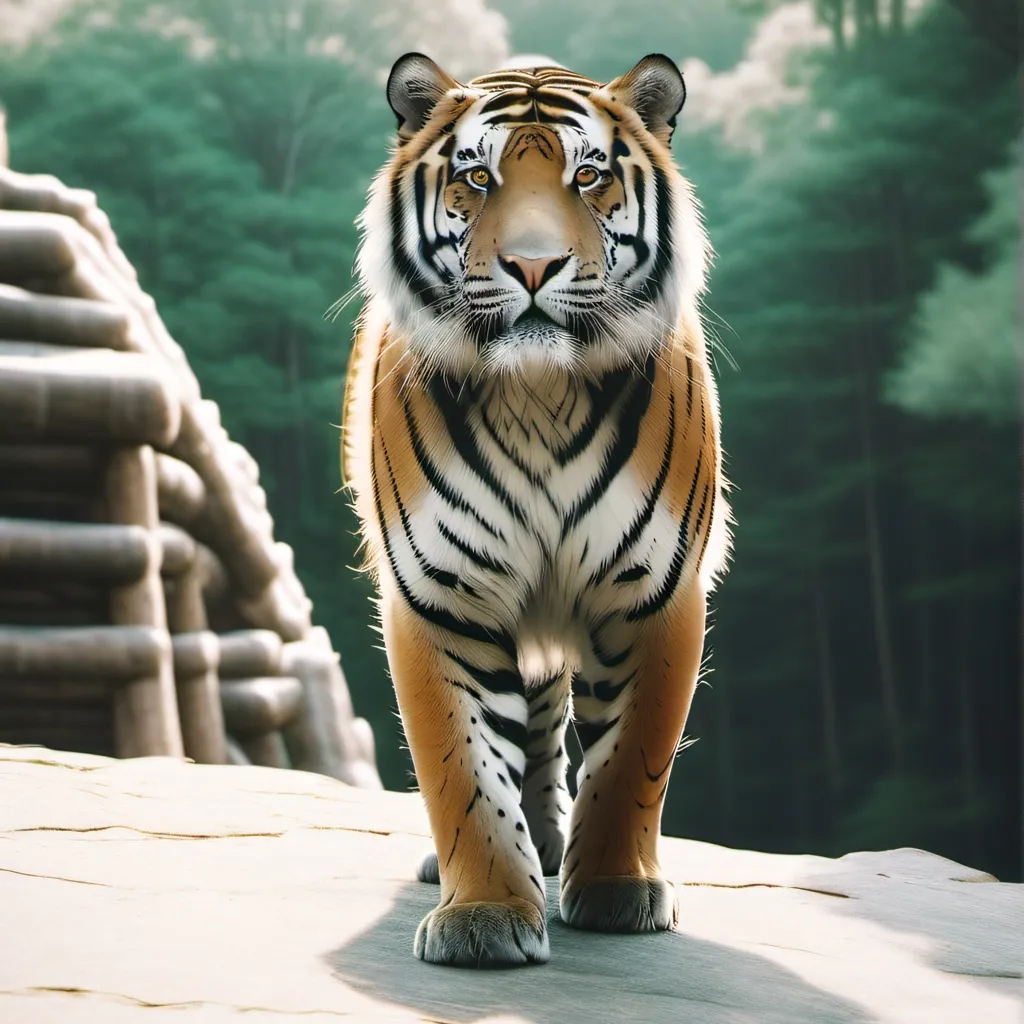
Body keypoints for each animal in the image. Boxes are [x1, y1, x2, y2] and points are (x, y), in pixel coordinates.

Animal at [342, 51, 731, 967]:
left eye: (587, 175)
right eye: (476, 177)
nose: (532, 266)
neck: (538, 393)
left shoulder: (655, 591)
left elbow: (632, 758)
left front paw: (618, 889)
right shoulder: (441, 596)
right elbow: (463, 768)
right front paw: (483, 912)